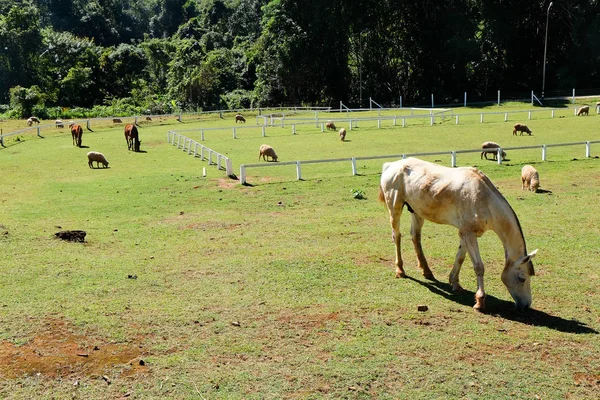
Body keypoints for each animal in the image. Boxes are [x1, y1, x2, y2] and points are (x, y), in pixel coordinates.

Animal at [380, 158, 540, 310]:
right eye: (522, 278)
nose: (526, 305)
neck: (484, 199)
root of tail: (390, 165)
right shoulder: (469, 234)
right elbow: (479, 266)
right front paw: (480, 301)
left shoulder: (466, 233)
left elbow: (460, 258)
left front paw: (455, 283)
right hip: (395, 208)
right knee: (397, 236)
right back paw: (400, 270)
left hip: (417, 212)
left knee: (415, 236)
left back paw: (427, 271)